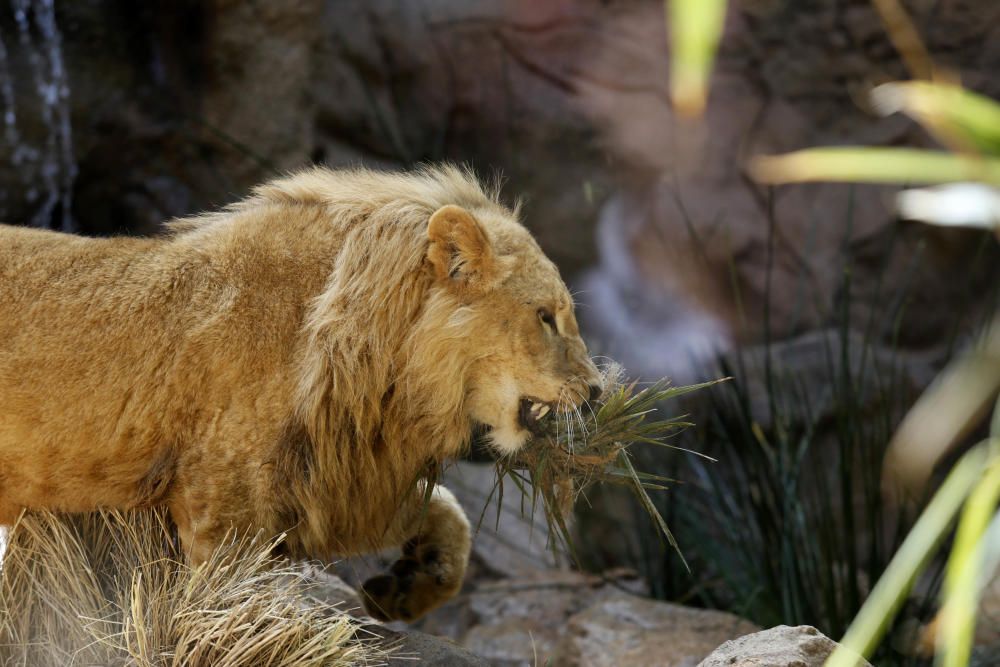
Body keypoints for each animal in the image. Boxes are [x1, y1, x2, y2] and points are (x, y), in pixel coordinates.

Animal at [0, 164, 600, 624]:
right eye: (546, 316)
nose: (595, 391)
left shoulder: (334, 485)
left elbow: (448, 512)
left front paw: (409, 588)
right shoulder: (223, 502)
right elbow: (225, 604)